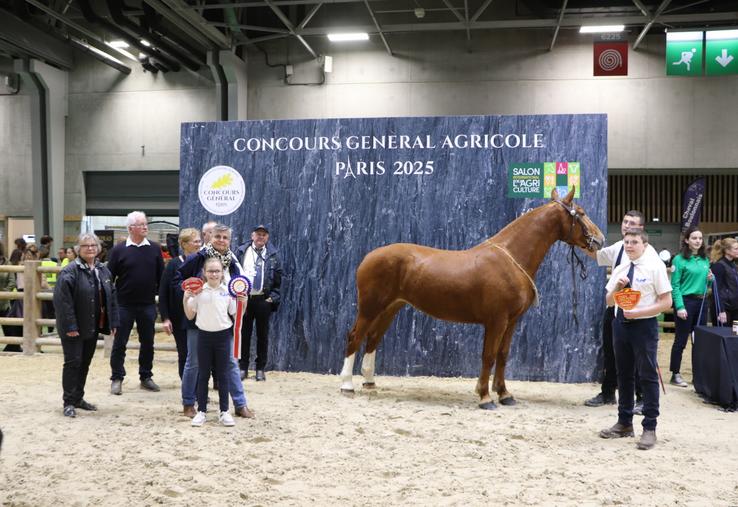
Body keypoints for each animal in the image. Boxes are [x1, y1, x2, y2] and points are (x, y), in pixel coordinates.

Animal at [340, 189, 604, 410]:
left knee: (373, 338)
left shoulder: (511, 321)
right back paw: (347, 385)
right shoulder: (496, 321)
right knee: (355, 337)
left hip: (390, 308)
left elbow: (503, 355)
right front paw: (485, 397)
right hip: (370, 307)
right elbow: (488, 356)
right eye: (581, 213)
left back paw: (370, 383)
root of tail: (369, 257)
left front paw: (505, 394)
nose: (600, 240)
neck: (511, 258)